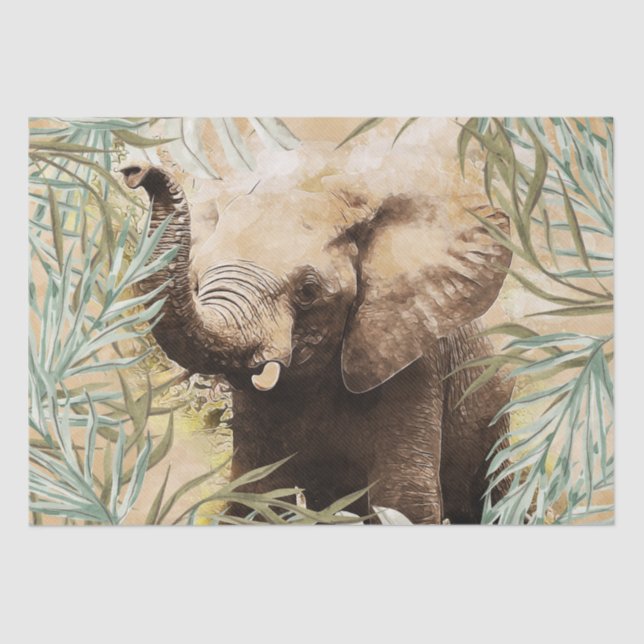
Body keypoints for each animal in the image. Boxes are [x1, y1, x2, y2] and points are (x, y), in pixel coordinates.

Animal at [120, 147, 513, 524]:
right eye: (197, 282)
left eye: (308, 291)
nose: (135, 170)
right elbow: (256, 497)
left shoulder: (415, 362)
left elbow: (403, 502)